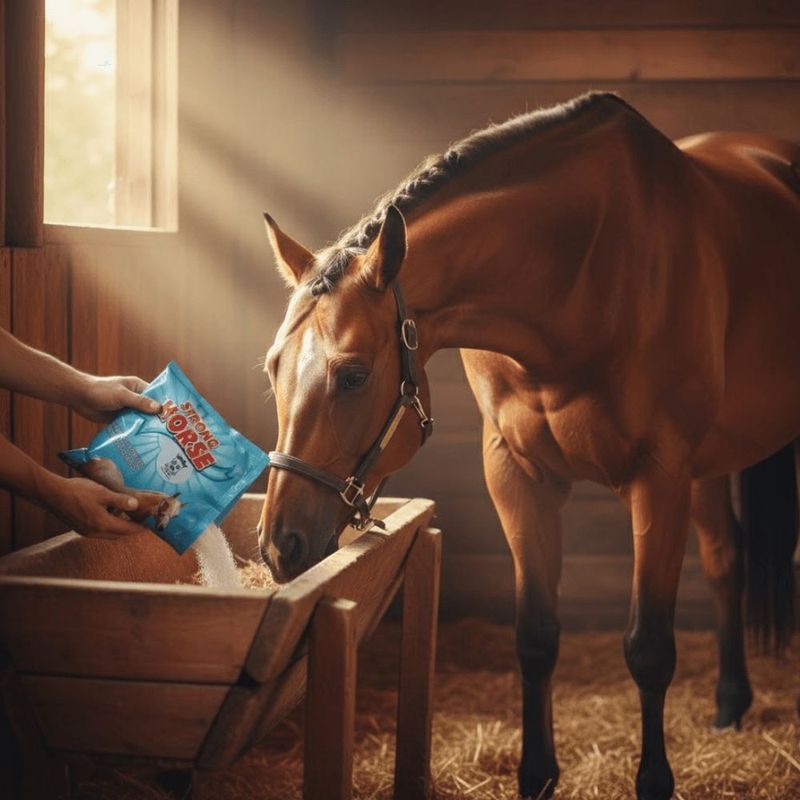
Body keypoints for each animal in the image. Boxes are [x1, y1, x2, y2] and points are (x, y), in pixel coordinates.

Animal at [256, 92, 799, 800]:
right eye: (273, 367)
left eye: (352, 375)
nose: (280, 545)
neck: (585, 270)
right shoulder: (516, 473)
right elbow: (536, 636)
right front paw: (537, 775)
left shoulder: (660, 475)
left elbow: (649, 649)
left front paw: (653, 781)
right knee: (726, 557)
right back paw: (731, 702)